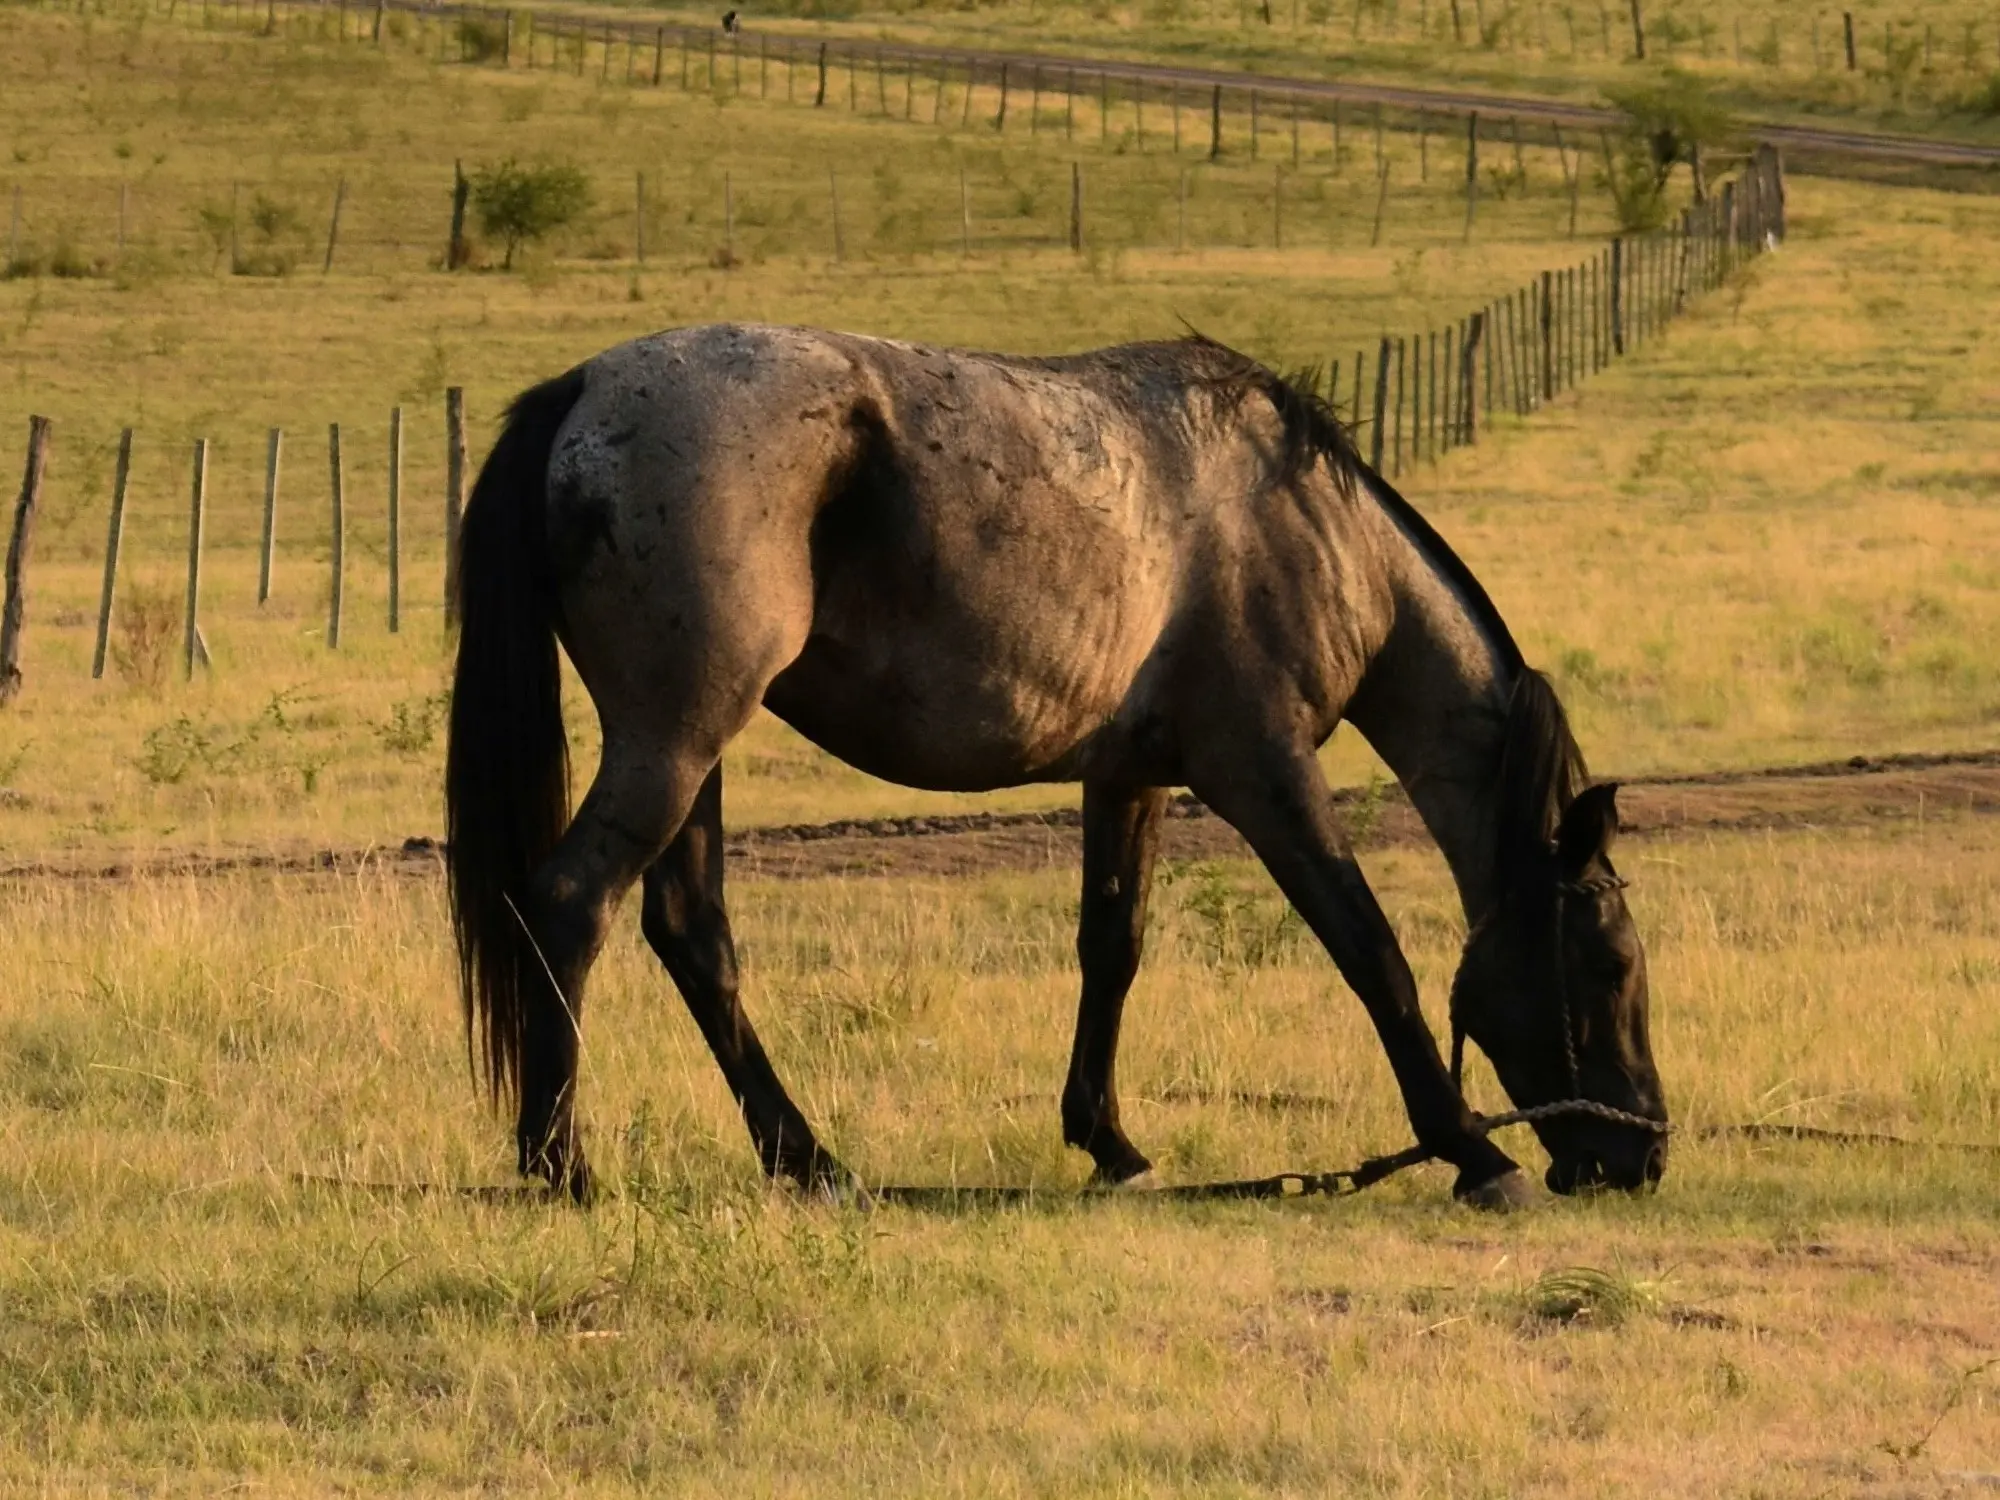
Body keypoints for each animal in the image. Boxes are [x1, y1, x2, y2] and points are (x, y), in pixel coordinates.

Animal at [446, 326, 1664, 1208]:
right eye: (1608, 962)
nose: (1640, 1155)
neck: (1305, 525)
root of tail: (586, 390)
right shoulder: (1265, 777)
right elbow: (1372, 955)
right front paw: (1473, 1152)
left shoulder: (1128, 777)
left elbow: (1111, 948)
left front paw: (1108, 1140)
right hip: (675, 739)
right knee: (570, 903)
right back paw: (562, 1165)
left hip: (694, 755)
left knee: (692, 936)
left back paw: (810, 1161)